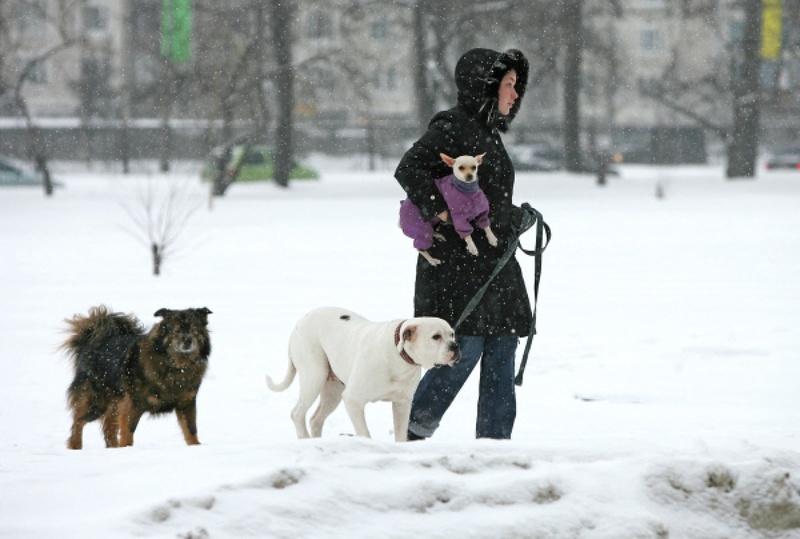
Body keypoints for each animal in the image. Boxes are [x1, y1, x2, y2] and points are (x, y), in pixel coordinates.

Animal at [61, 306, 212, 450]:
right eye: (176, 330)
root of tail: (93, 340)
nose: (188, 340)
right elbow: (127, 431)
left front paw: (196, 447)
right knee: (78, 421)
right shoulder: (133, 403)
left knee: (108, 427)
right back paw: (75, 445)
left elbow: (191, 430)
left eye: (194, 330)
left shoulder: (187, 403)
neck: (175, 365)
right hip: (97, 403)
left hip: (114, 402)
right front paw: (127, 448)